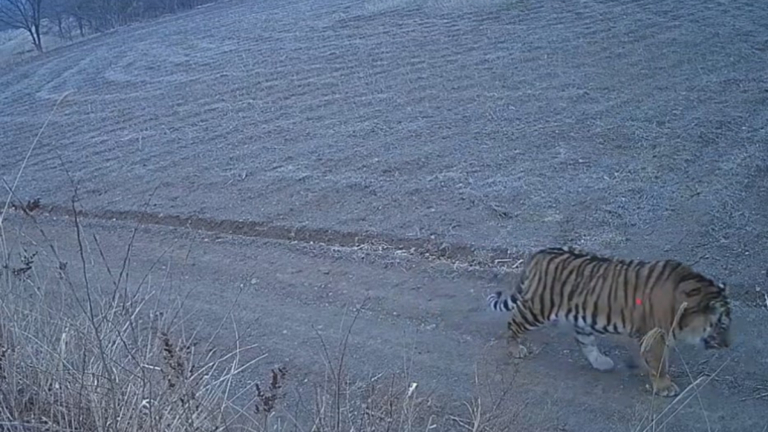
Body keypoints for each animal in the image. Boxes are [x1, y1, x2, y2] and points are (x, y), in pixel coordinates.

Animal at [486, 246, 732, 397]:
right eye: (722, 325)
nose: (728, 345)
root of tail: (539, 253)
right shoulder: (656, 334)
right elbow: (660, 362)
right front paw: (664, 386)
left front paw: (640, 367)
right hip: (538, 307)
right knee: (514, 322)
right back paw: (515, 349)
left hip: (580, 317)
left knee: (584, 341)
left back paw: (601, 362)